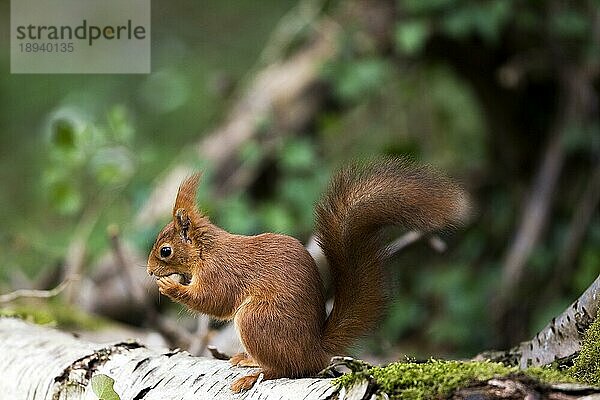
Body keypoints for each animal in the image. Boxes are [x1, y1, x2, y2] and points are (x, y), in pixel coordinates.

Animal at [145, 158, 468, 392]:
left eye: (165, 251)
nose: (148, 271)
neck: (207, 250)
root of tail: (314, 350)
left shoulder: (221, 271)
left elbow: (214, 300)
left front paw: (170, 287)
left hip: (256, 320)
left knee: (286, 369)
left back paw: (255, 373)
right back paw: (246, 359)